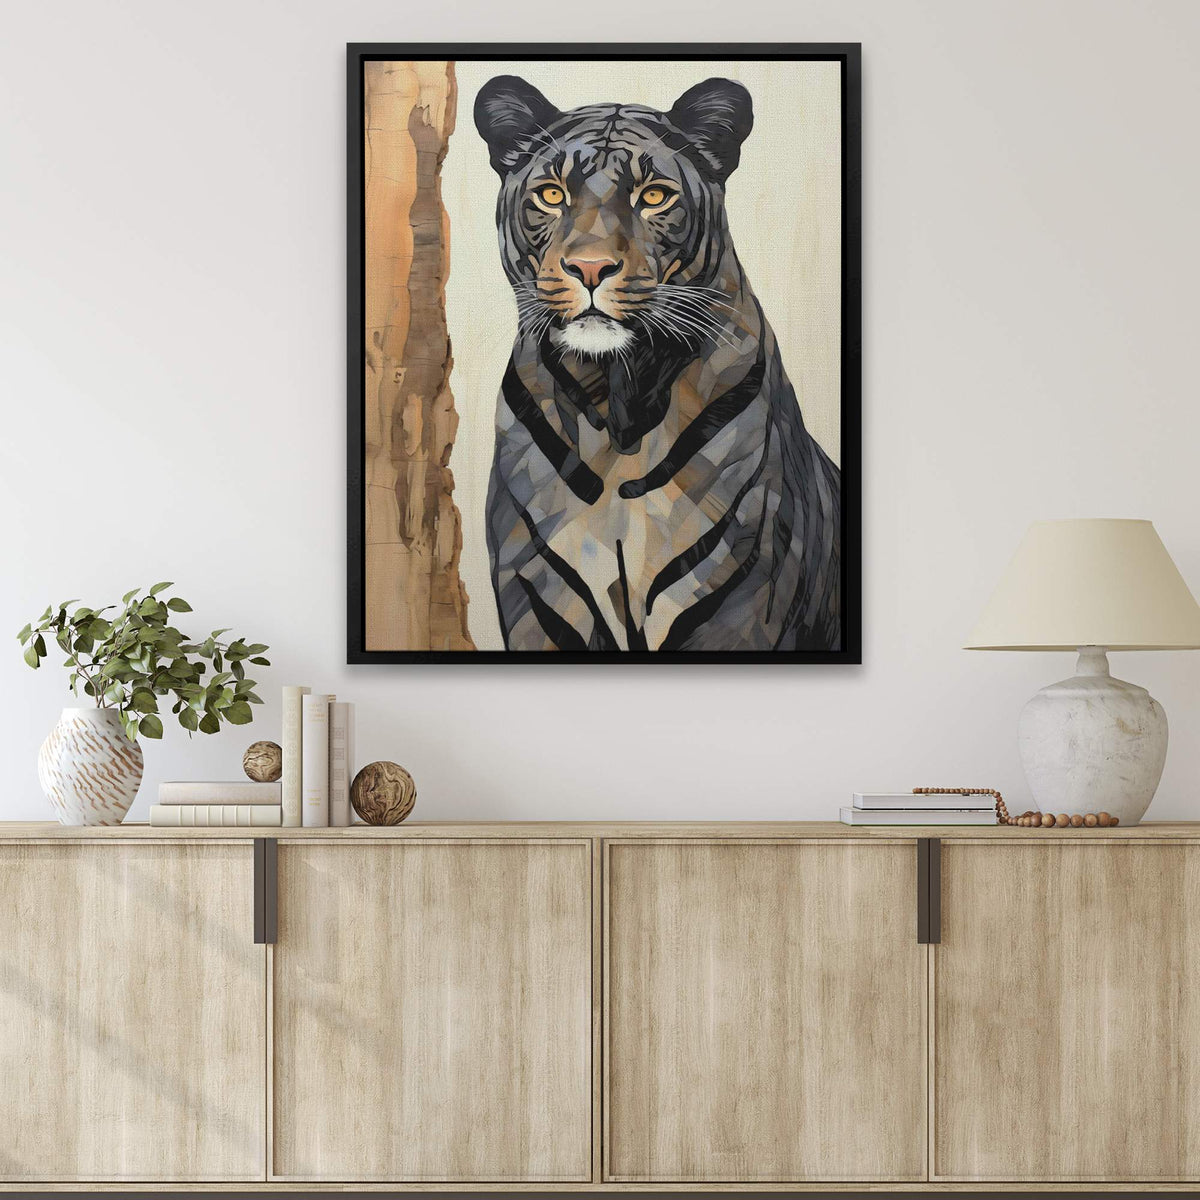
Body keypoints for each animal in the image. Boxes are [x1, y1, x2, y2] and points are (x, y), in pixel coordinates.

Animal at [473, 73, 841, 652]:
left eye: (653, 196)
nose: (591, 268)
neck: (616, 409)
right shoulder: (538, 595)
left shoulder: (735, 593)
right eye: (552, 195)